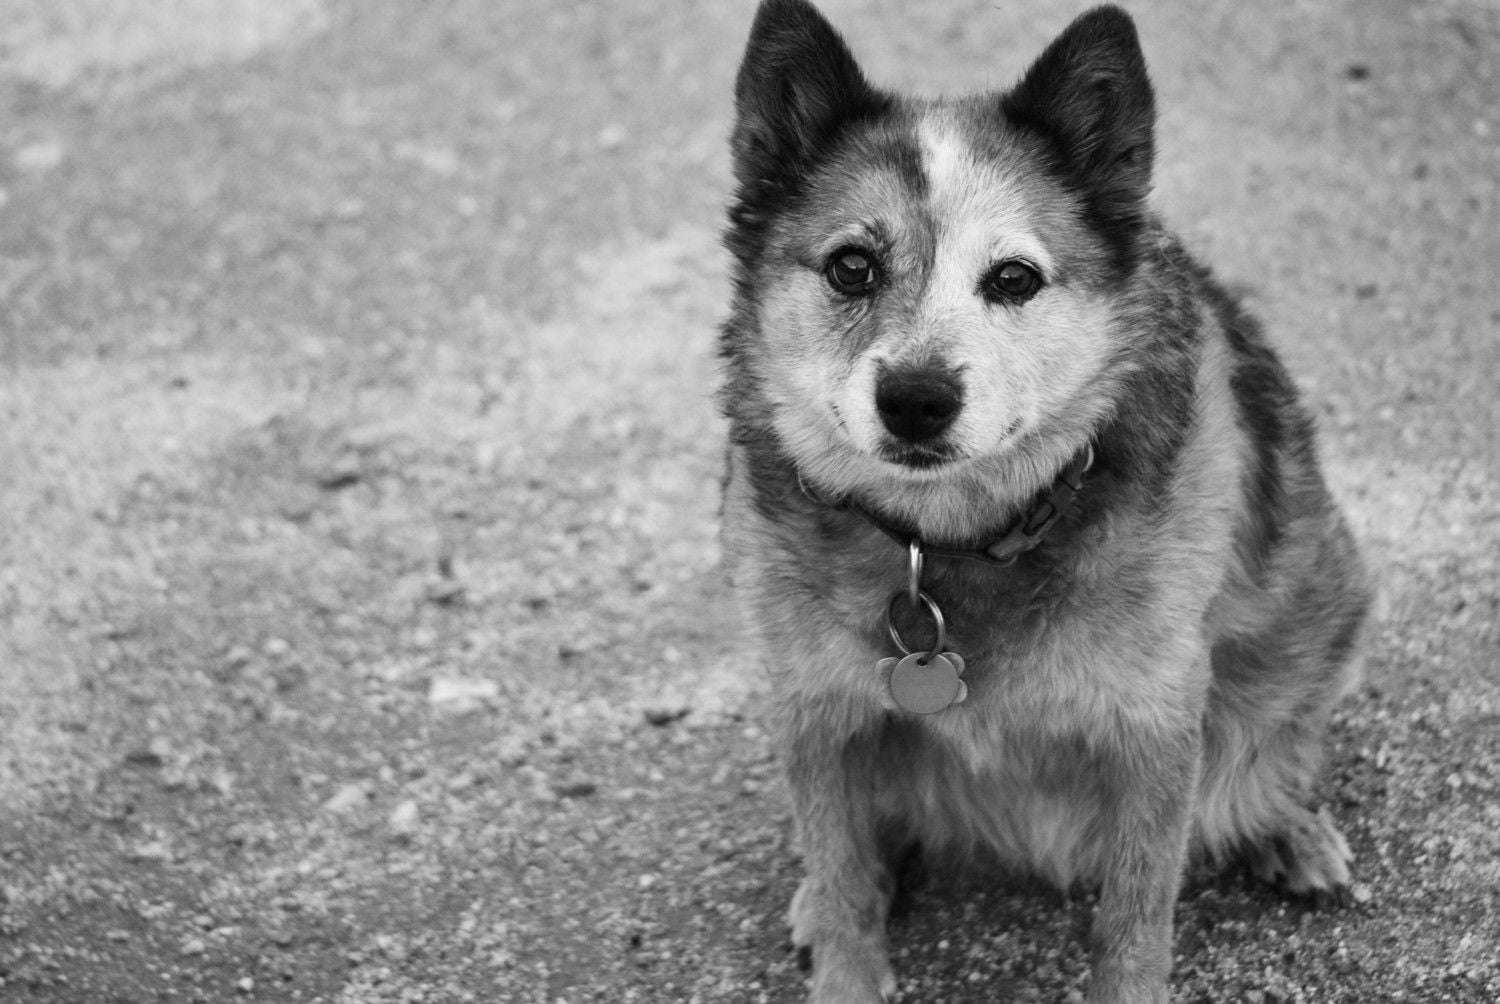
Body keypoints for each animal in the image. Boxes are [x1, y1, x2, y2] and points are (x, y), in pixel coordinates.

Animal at [717, 2, 1372, 1001]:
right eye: (852, 267)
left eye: (1014, 278)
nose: (915, 398)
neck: (952, 545)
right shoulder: (815, 713)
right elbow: (842, 882)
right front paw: (842, 948)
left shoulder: (1156, 723)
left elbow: (1136, 916)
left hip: (1320, 608)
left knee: (1269, 749)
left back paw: (1284, 826)